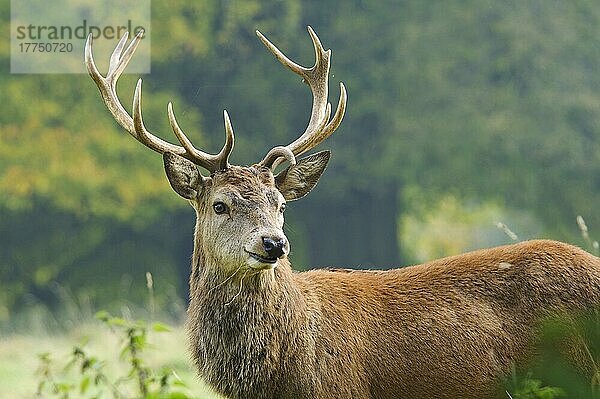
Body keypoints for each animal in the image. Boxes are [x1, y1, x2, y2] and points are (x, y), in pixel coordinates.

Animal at [84, 26, 600, 398]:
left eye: (280, 204)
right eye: (220, 204)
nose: (273, 243)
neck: (284, 373)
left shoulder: (342, 390)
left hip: (574, 373)